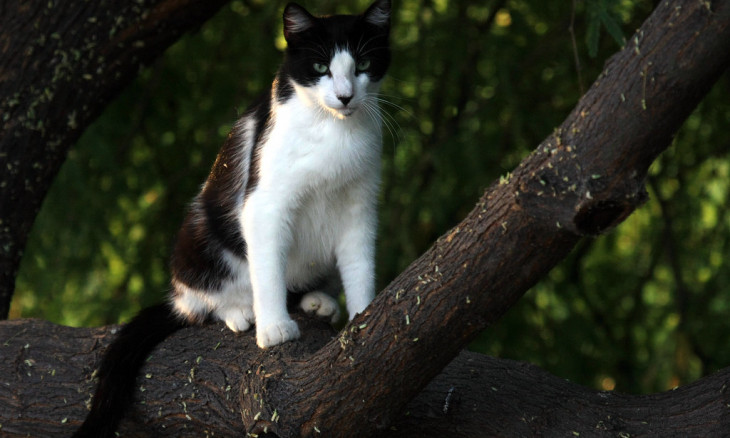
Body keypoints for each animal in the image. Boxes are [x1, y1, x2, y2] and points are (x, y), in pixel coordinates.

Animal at [74, 1, 390, 436]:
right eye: (321, 66)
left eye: (362, 64)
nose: (345, 96)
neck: (332, 129)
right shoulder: (264, 203)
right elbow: (268, 269)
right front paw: (273, 329)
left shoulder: (360, 207)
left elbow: (360, 265)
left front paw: (363, 317)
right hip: (198, 239)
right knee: (204, 299)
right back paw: (242, 311)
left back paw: (316, 302)